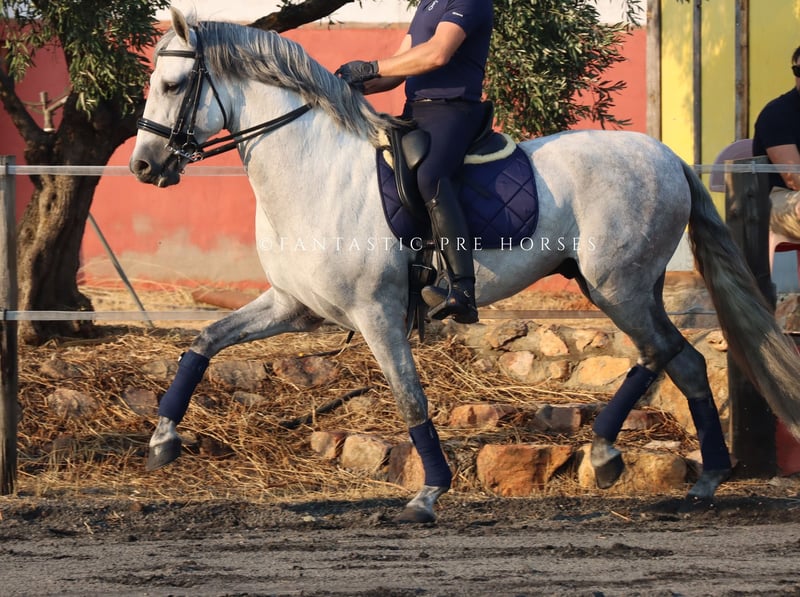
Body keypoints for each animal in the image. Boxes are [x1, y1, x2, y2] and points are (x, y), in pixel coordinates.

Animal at [130, 7, 800, 522]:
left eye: (173, 85)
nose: (142, 167)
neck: (313, 170)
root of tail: (667, 156)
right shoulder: (294, 307)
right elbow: (203, 342)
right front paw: (163, 441)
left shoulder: (375, 314)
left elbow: (410, 400)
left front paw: (427, 495)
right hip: (624, 286)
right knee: (683, 362)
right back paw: (703, 481)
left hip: (618, 286)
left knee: (661, 354)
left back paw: (608, 456)